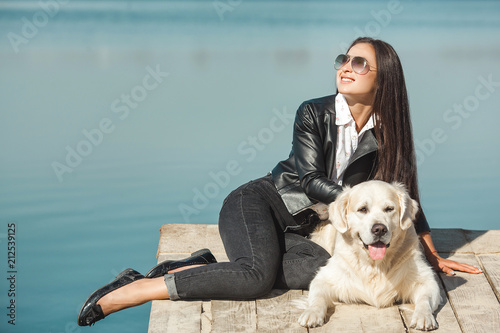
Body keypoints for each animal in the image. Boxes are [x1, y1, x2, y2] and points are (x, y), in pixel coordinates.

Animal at [298, 180, 440, 330]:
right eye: (363, 209)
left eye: (389, 209)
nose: (379, 229)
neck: (375, 264)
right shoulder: (324, 278)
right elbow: (317, 297)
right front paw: (312, 313)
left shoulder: (426, 280)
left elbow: (424, 300)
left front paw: (423, 316)